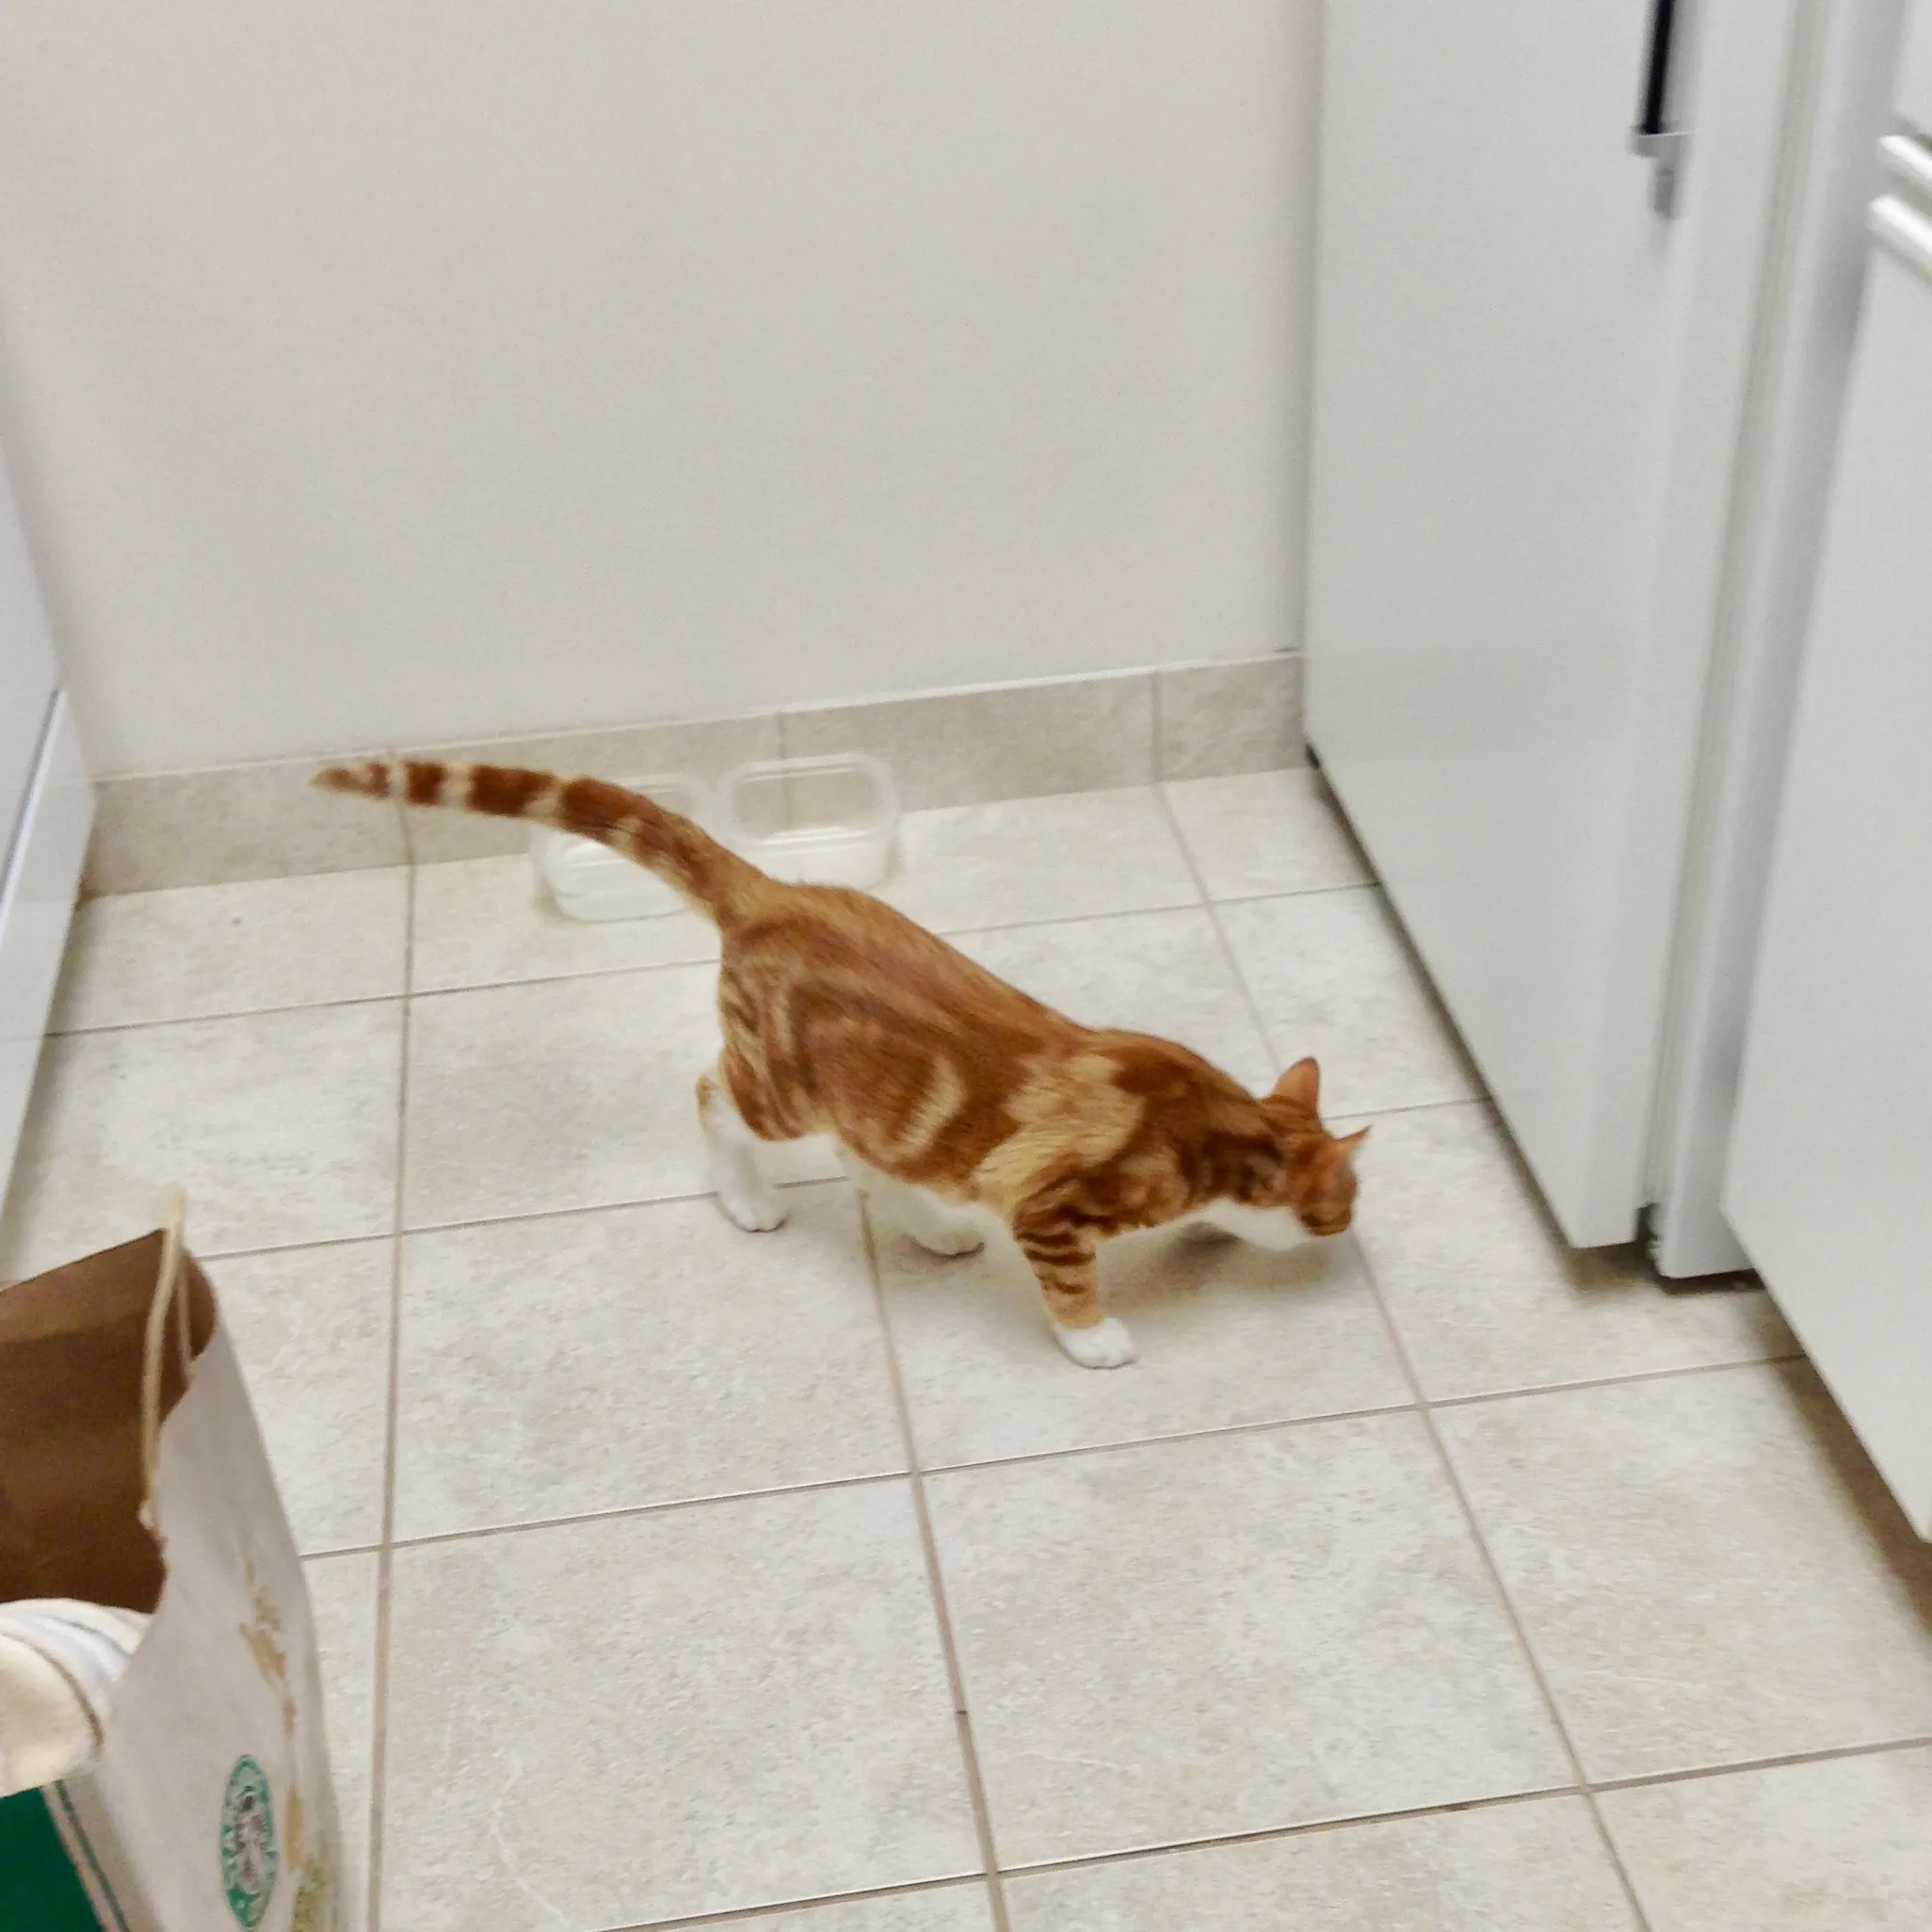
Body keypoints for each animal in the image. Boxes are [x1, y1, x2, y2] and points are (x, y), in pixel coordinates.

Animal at [316, 753, 1367, 1360]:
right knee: (712, 1095)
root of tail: (775, 891)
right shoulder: (1052, 1208)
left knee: (870, 1160)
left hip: (872, 1102)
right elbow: (1070, 1286)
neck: (1209, 1125)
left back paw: (933, 1228)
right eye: (1347, 1203)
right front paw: (1096, 1339)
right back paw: (747, 1198)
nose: (1349, 1234)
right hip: (778, 1089)